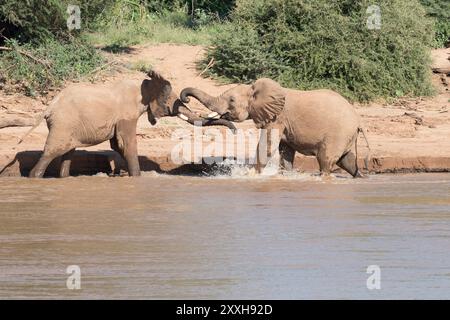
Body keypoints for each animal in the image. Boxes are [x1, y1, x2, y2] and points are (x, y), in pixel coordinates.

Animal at [22, 69, 236, 178]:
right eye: (169, 102)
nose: (234, 131)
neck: (143, 86)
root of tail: (49, 107)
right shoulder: (126, 115)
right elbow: (127, 144)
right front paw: (137, 177)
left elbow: (118, 145)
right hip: (63, 124)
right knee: (51, 152)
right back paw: (34, 177)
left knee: (68, 152)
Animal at [181, 78, 370, 178]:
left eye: (232, 101)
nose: (186, 98)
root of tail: (359, 121)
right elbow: (285, 151)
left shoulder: (277, 118)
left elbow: (267, 145)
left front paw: (251, 175)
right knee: (347, 161)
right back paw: (360, 177)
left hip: (338, 133)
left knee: (325, 160)